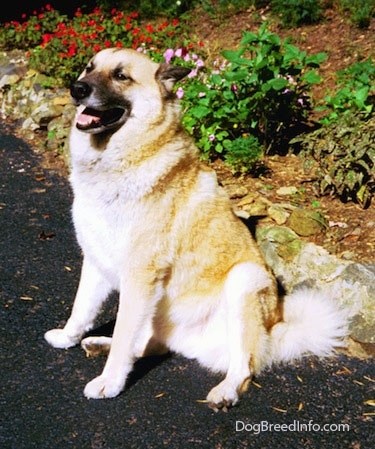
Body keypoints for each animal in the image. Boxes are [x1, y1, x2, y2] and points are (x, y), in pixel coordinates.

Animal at [44, 48, 350, 410]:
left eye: (121, 76)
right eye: (89, 68)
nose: (76, 89)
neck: (121, 159)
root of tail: (276, 331)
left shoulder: (139, 277)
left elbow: (122, 336)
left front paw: (109, 382)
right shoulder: (95, 261)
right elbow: (82, 309)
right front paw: (68, 337)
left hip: (244, 280)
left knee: (244, 364)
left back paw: (225, 391)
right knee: (148, 343)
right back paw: (100, 343)